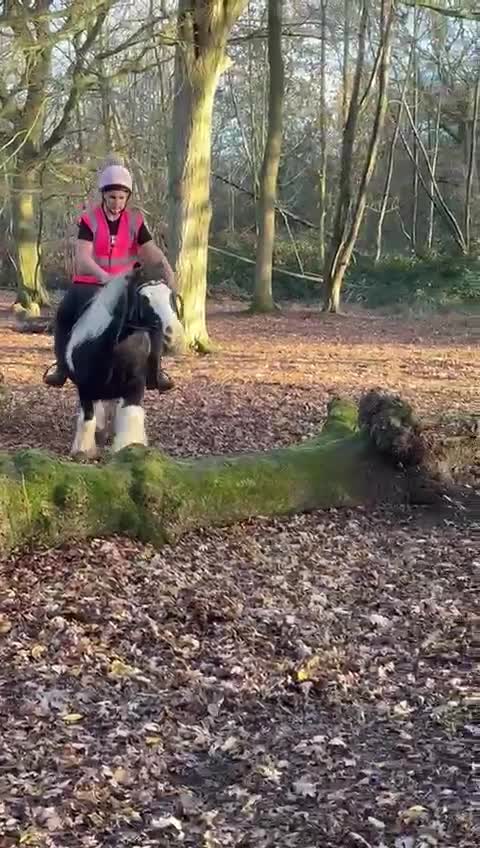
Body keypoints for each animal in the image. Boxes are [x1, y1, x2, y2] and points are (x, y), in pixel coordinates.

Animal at [61, 265, 184, 458]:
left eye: (171, 297)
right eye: (144, 299)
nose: (175, 336)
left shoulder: (135, 385)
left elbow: (130, 414)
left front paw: (129, 447)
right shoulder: (85, 388)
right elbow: (88, 417)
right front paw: (83, 451)